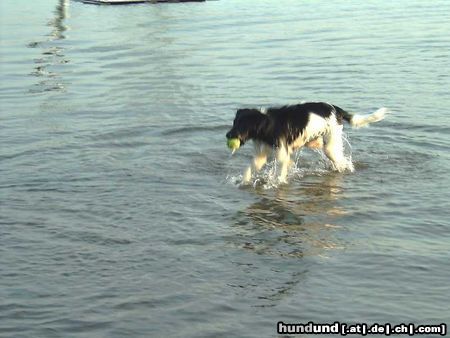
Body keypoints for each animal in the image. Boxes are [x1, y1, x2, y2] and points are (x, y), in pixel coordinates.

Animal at [227, 101, 388, 184]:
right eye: (234, 123)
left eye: (242, 125)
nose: (228, 135)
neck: (267, 125)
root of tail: (336, 109)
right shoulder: (261, 155)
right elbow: (249, 169)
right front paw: (243, 183)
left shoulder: (281, 154)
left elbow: (280, 174)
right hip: (315, 141)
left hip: (330, 145)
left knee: (342, 161)